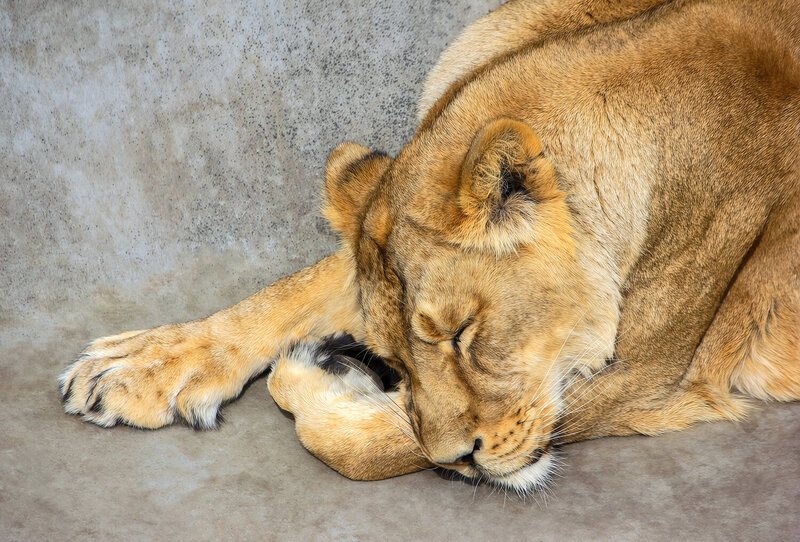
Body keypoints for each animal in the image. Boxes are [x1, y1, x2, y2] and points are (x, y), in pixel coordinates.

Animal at [60, 0, 800, 494]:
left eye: (463, 336)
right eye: (400, 356)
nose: (459, 462)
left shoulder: (651, 377)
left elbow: (371, 448)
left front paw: (315, 372)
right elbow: (296, 290)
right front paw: (141, 365)